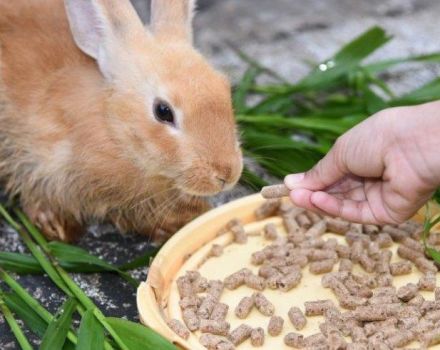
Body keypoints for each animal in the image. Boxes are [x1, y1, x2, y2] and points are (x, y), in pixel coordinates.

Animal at [0, 0, 242, 242]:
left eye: (225, 87)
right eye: (163, 111)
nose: (226, 175)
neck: (112, 126)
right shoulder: (35, 161)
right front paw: (57, 228)